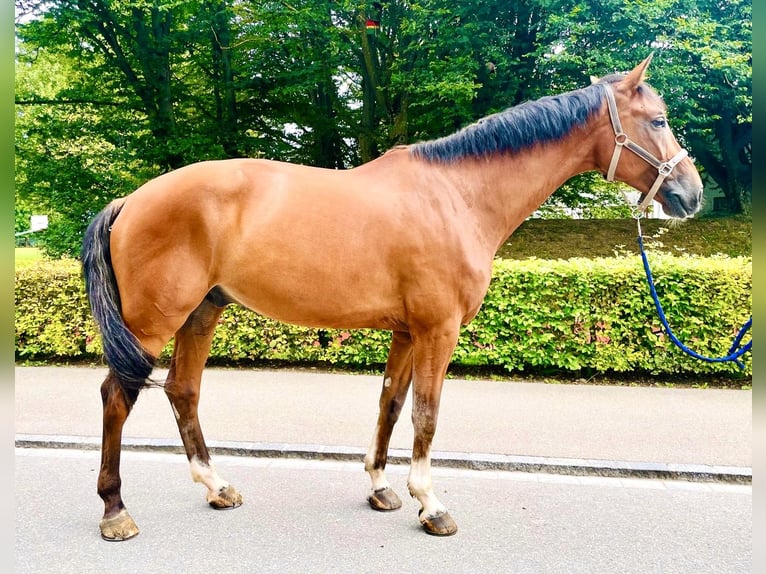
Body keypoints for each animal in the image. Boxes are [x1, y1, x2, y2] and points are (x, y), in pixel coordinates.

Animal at [82, 56, 704, 544]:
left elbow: (391, 404)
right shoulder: (438, 330)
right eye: (659, 120)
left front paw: (381, 488)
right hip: (153, 320)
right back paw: (115, 511)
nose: (691, 194)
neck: (456, 195)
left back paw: (217, 487)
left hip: (200, 312)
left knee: (183, 391)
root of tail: (130, 199)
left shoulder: (407, 331)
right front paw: (431, 504)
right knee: (117, 395)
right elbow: (427, 414)